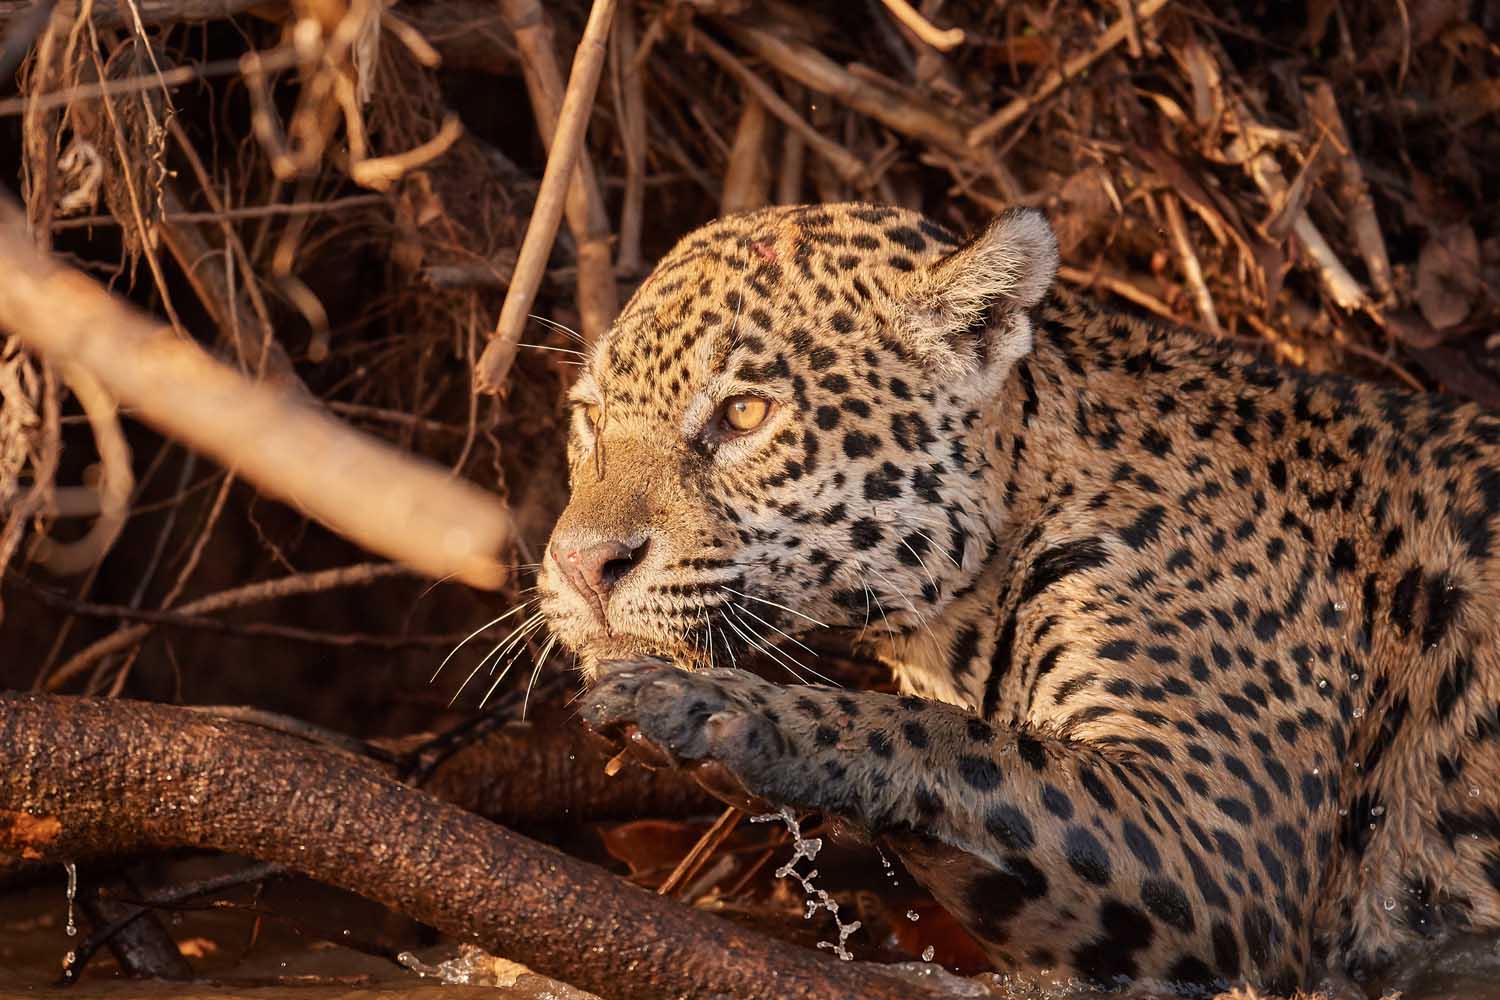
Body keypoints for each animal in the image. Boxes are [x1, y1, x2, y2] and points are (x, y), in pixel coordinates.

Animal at [536, 201, 1500, 996]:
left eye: (743, 414)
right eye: (590, 417)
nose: (584, 565)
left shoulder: (1219, 831)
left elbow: (946, 740)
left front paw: (711, 707)